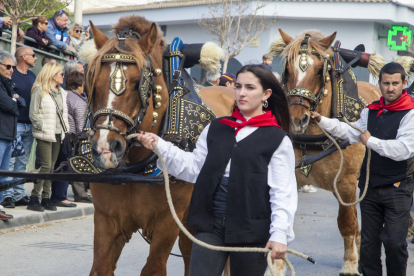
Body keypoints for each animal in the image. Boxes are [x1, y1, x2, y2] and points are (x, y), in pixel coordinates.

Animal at [85, 16, 234, 276]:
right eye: (94, 81)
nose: (105, 147)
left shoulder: (168, 221)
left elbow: (154, 268)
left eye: (138, 83)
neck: (135, 170)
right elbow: (101, 267)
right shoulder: (106, 219)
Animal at [276, 29, 380, 274]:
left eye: (318, 71)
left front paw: (350, 264)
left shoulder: (346, 183)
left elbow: (348, 223)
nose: (298, 119)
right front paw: (277, 265)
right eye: (287, 70)